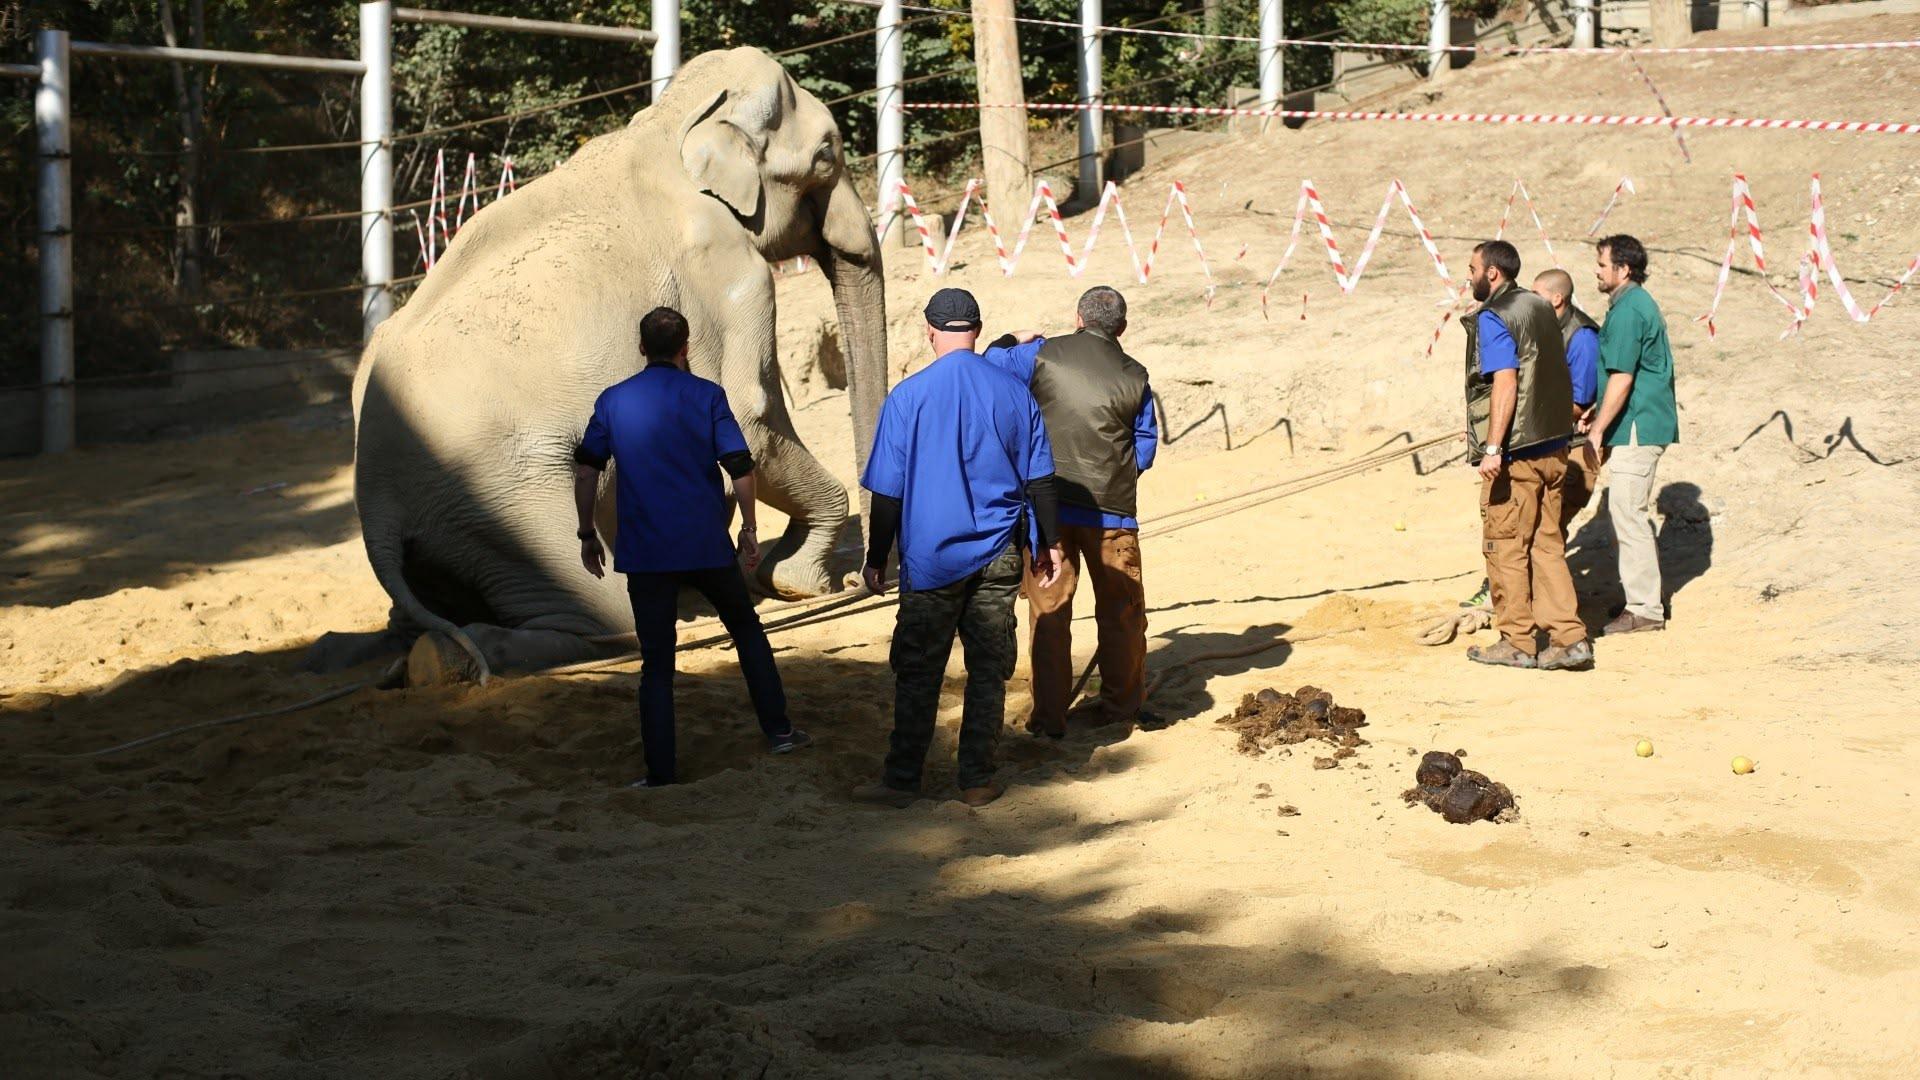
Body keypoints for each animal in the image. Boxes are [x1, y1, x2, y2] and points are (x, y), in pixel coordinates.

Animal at [305, 46, 883, 680]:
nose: (864, 582)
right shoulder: (728, 270)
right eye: (827, 153)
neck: (668, 125)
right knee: (602, 614)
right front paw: (798, 584)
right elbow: (749, 423)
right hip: (510, 502)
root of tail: (375, 499)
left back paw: (356, 653)